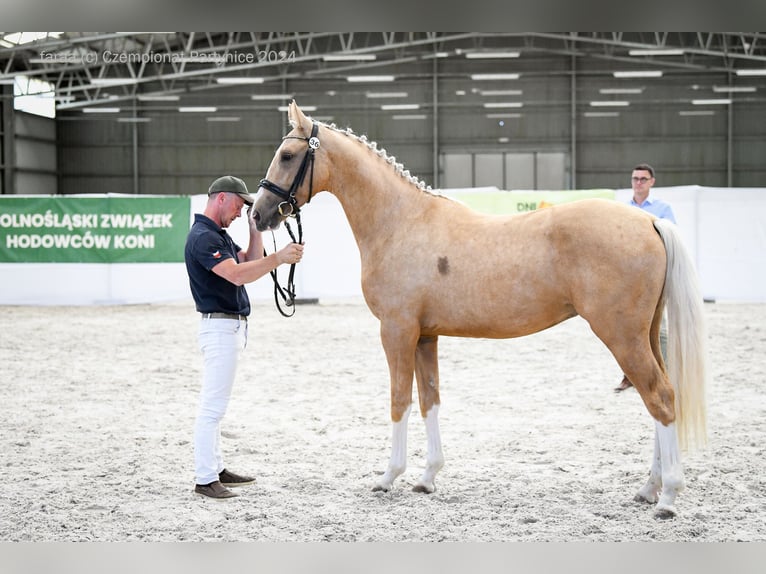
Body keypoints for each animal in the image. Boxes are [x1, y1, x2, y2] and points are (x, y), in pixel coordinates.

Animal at [255, 101, 712, 520]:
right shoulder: (425, 336)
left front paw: (388, 477)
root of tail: (647, 222)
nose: (259, 214)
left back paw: (668, 498)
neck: (401, 222)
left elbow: (400, 400)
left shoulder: (396, 331)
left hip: (621, 335)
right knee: (659, 397)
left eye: (288, 155)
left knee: (661, 397)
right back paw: (649, 488)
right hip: (645, 334)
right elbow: (430, 399)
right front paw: (427, 478)